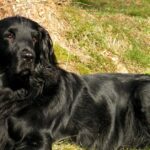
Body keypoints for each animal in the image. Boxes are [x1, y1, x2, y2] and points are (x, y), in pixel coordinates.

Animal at [0, 15, 150, 149]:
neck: (17, 91)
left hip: (143, 91)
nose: (28, 56)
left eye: (34, 38)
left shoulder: (39, 138)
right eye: (9, 36)